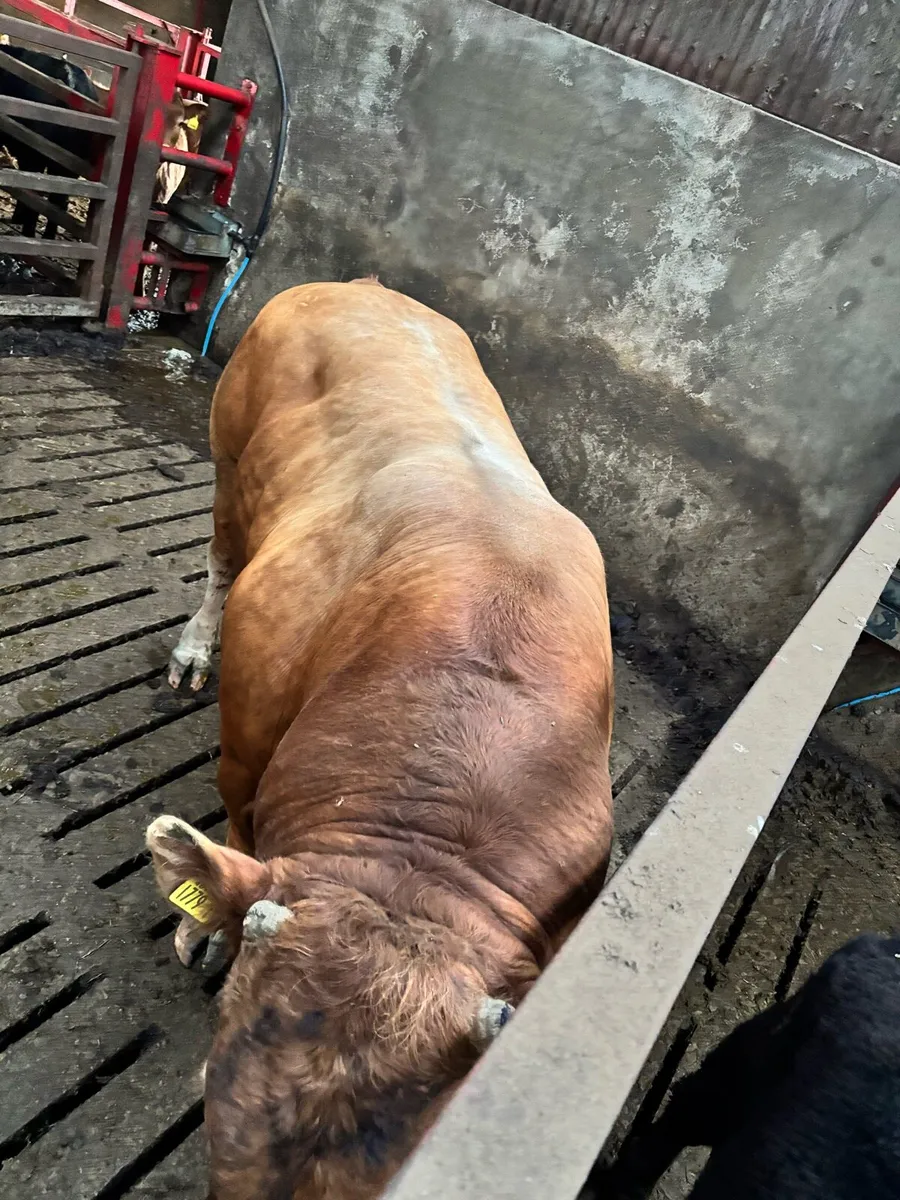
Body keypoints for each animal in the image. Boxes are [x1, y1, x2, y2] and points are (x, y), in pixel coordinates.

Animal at [146, 280, 615, 1200]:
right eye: (218, 1139)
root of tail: (361, 287)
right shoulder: (251, 712)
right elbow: (235, 824)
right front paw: (204, 932)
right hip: (229, 445)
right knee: (219, 554)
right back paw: (190, 649)